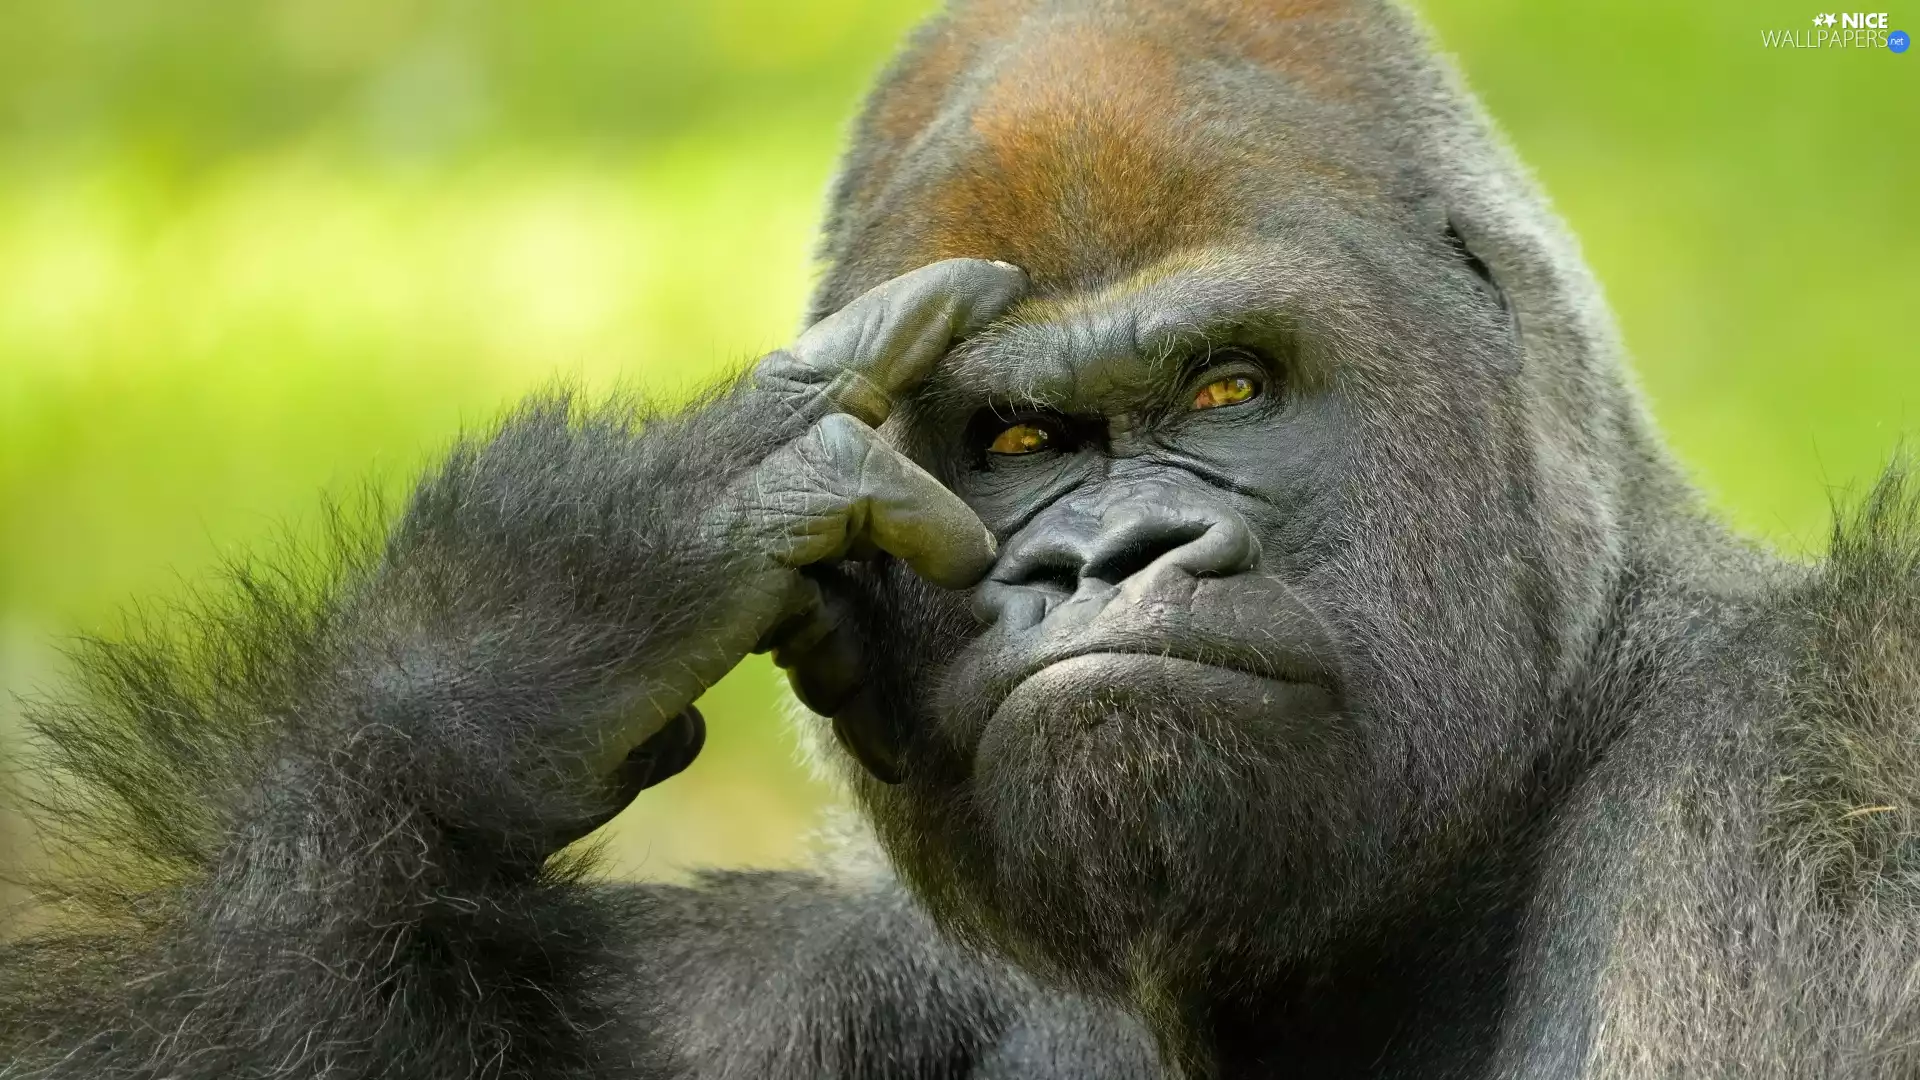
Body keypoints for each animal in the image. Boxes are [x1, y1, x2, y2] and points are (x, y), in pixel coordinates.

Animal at [5, 1, 1918, 1078]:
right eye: (1012, 445)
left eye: (1229, 388)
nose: (1104, 559)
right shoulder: (787, 987)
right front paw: (512, 641)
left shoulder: (1813, 772)